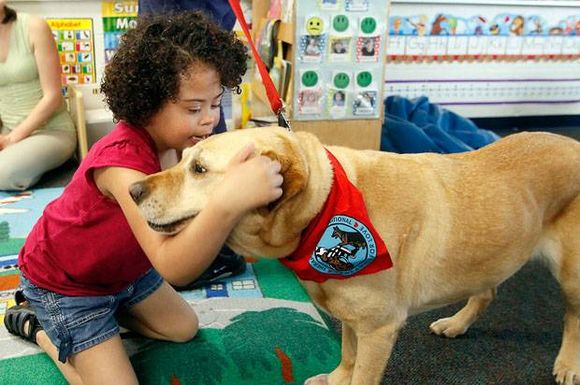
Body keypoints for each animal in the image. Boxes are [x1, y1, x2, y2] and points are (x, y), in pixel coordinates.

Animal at [131, 127, 580, 384]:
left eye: (200, 169)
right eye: (183, 160)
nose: (132, 191)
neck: (323, 210)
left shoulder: (379, 329)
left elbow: (363, 374)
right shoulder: (352, 320)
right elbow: (347, 356)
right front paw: (336, 378)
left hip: (572, 278)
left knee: (572, 319)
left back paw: (568, 363)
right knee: (487, 292)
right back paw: (457, 323)